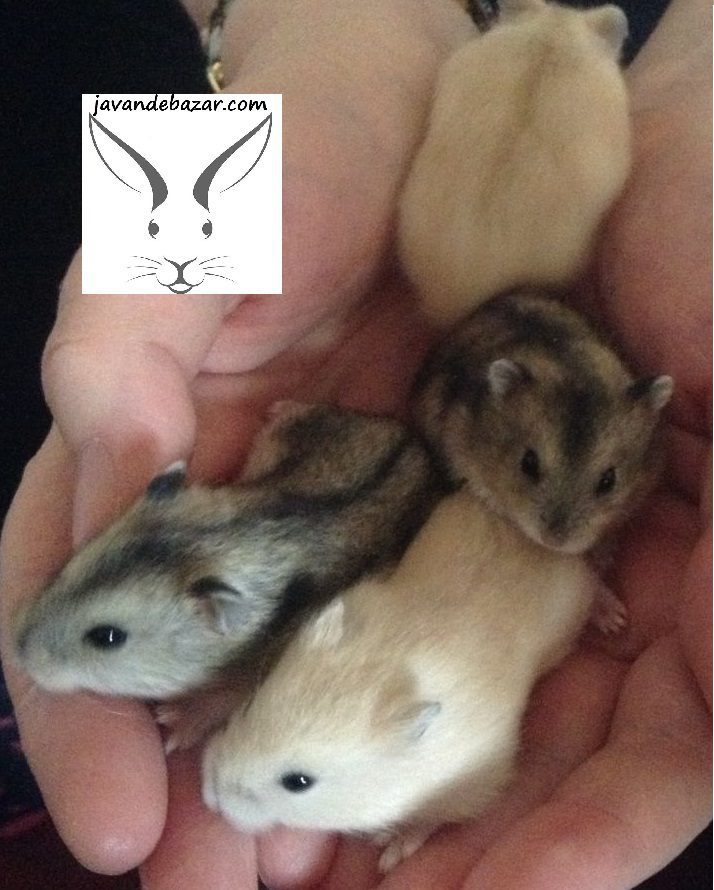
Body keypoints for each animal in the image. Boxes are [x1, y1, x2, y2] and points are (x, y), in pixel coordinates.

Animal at [13, 403, 444, 700]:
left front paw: (175, 725)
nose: (17, 652)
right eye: (70, 567)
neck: (220, 540)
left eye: (107, 638)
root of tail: (414, 439)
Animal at [202, 487, 599, 872]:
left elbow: (432, 820)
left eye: (298, 783)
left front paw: (388, 851)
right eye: (250, 706)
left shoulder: (472, 786)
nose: (211, 795)